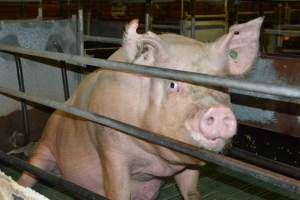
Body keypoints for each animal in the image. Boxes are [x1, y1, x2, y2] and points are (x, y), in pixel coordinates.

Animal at [18, 18, 262, 199]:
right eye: (172, 84)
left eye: (220, 85)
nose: (218, 111)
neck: (157, 161)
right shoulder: (110, 149)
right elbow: (118, 192)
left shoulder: (189, 165)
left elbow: (191, 191)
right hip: (45, 145)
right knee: (30, 171)